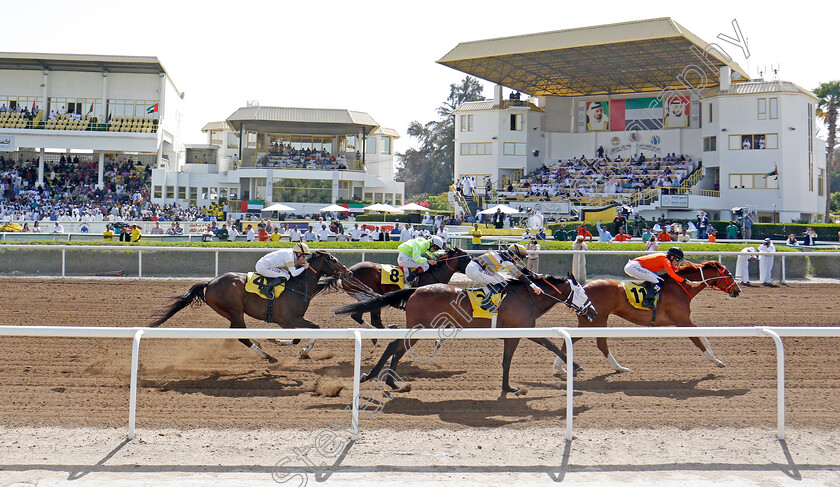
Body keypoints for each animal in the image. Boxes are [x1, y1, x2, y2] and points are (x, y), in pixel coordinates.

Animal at [149, 252, 350, 362]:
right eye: (333, 260)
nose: (348, 272)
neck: (299, 286)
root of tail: (210, 283)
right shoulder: (290, 319)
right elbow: (314, 329)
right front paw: (297, 349)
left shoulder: (289, 322)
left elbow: (297, 338)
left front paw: (278, 341)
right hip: (235, 311)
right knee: (242, 336)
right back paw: (267, 356)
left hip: (232, 314)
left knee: (238, 333)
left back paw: (261, 346)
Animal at [334, 276, 596, 394]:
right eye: (584, 293)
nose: (593, 312)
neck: (529, 297)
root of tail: (415, 290)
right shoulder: (524, 331)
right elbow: (551, 344)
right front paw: (575, 366)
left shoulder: (513, 335)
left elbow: (506, 362)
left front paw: (507, 388)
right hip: (421, 327)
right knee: (395, 346)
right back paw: (372, 375)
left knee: (397, 348)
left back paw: (389, 380)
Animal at [556, 262, 740, 376]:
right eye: (729, 275)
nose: (738, 291)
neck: (680, 288)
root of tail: (583, 288)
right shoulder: (681, 321)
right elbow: (697, 340)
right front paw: (716, 360)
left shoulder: (684, 320)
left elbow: (701, 333)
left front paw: (711, 349)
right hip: (594, 320)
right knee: (577, 340)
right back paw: (559, 367)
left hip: (596, 321)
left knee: (598, 344)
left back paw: (618, 368)